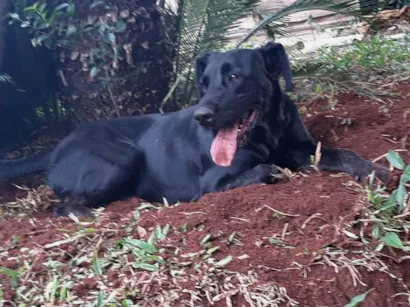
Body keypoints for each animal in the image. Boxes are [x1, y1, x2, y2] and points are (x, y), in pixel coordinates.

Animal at [0, 42, 388, 218]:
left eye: (234, 77)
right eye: (204, 82)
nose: (201, 116)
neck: (266, 132)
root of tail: (57, 146)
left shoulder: (302, 149)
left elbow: (341, 152)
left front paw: (374, 170)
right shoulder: (213, 183)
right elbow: (265, 169)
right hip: (124, 156)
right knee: (62, 208)